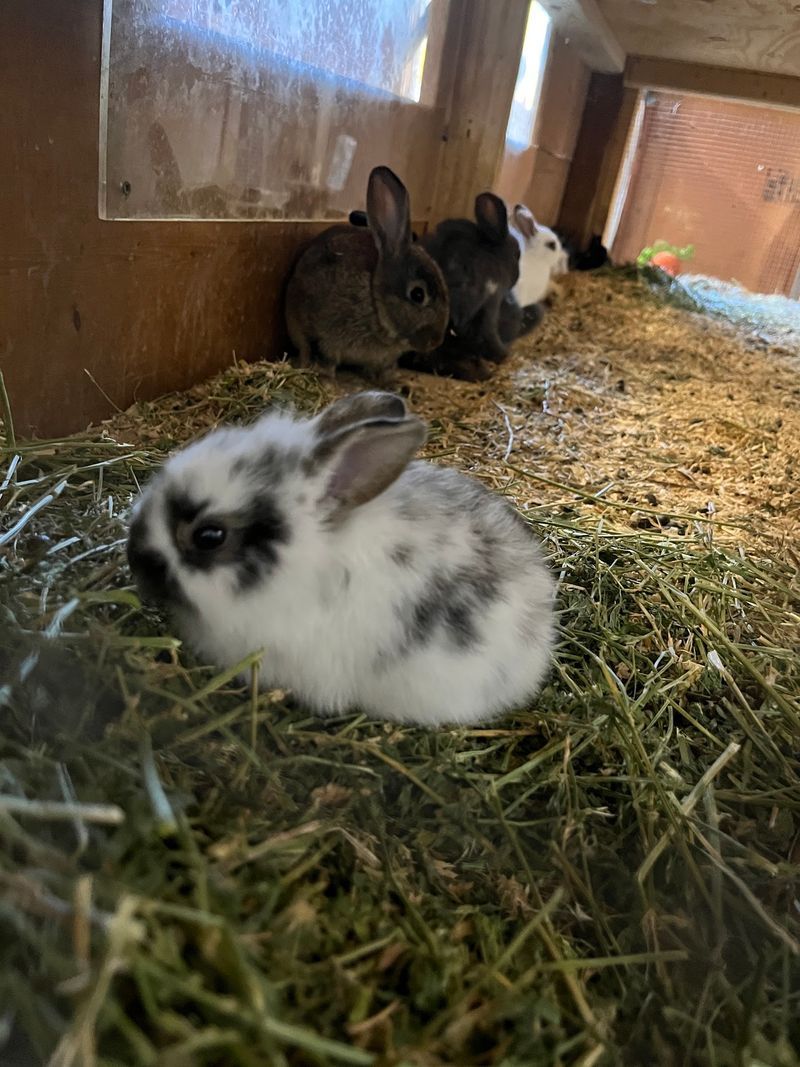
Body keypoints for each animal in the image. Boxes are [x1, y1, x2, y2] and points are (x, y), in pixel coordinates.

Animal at [285, 167, 448, 381]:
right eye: (418, 295)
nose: (436, 341)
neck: (375, 299)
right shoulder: (327, 335)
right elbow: (327, 357)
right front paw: (326, 377)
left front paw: (391, 381)